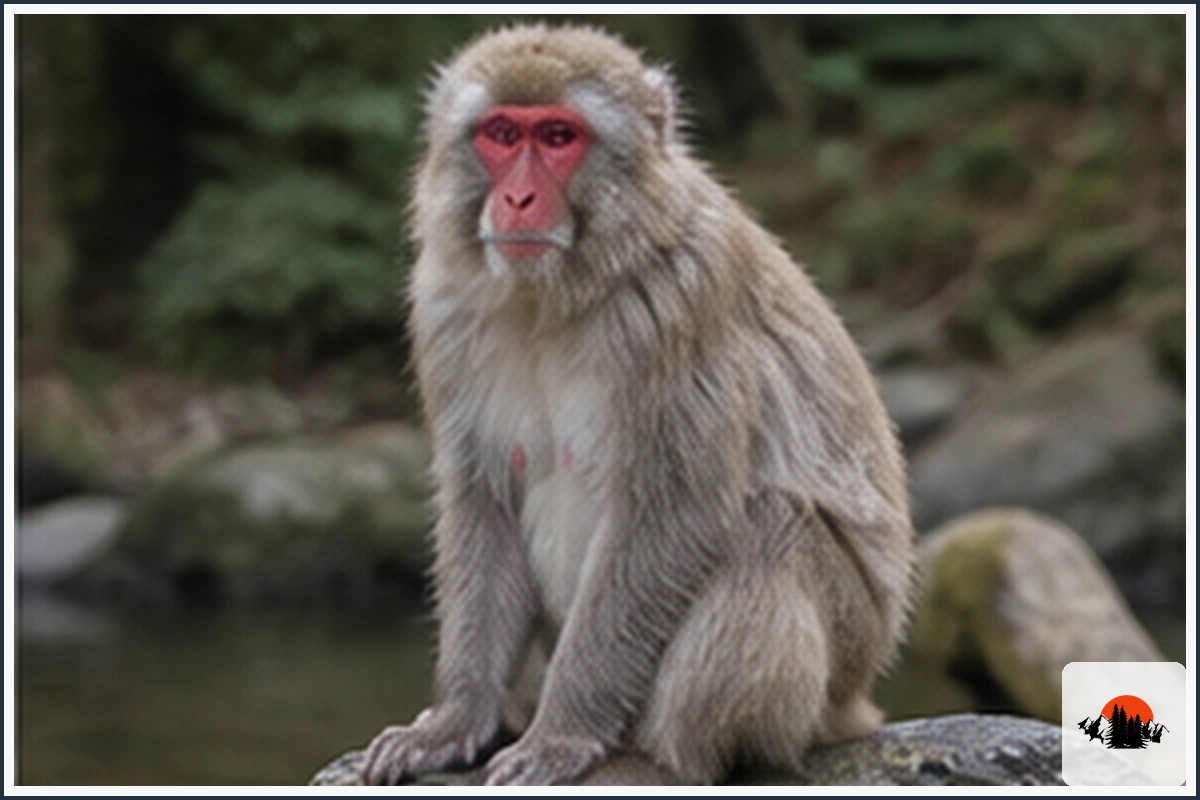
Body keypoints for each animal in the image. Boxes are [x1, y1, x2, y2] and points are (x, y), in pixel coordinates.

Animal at [357, 24, 915, 786]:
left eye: (558, 136)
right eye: (502, 133)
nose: (518, 199)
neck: (554, 297)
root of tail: (860, 699)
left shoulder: (681, 306)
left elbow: (672, 513)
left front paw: (560, 735)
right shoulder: (444, 310)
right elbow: (485, 496)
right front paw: (455, 722)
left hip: (843, 658)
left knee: (767, 526)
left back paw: (663, 758)